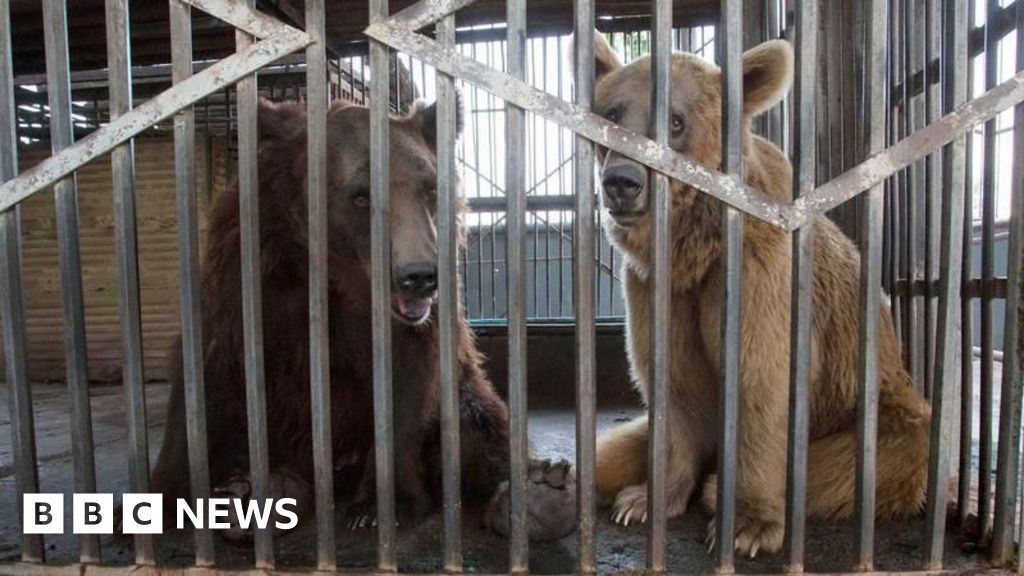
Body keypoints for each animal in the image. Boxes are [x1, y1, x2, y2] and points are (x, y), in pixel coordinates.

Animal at [149, 96, 576, 542]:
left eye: (429, 187)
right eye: (360, 195)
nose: (419, 275)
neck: (337, 273)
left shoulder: (413, 328)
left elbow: (401, 393)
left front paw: (379, 508)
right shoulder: (247, 284)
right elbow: (209, 378)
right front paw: (168, 496)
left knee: (480, 427)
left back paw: (538, 497)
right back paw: (251, 494)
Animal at [589, 35, 931, 556]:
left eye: (675, 120)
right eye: (611, 113)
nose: (622, 183)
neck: (694, 249)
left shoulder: (759, 275)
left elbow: (762, 384)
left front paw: (746, 526)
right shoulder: (656, 287)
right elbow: (672, 384)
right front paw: (645, 500)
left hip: (876, 406)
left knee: (874, 456)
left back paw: (717, 489)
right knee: (608, 450)